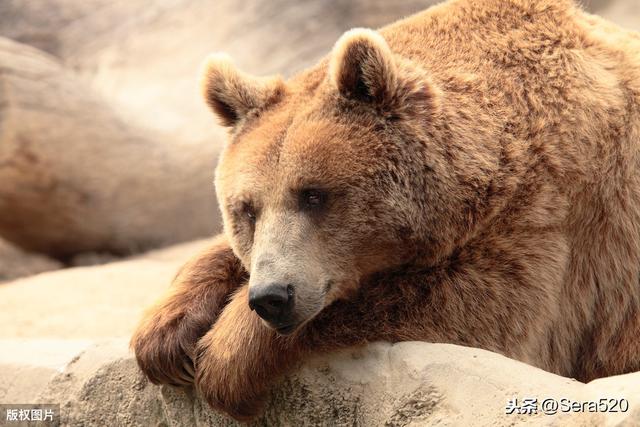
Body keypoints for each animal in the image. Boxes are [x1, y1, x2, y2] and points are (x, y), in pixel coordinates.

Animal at [131, 0, 640, 421]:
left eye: (313, 194)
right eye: (247, 209)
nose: (272, 296)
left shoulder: (553, 226)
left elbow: (470, 306)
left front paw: (224, 357)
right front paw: (165, 333)